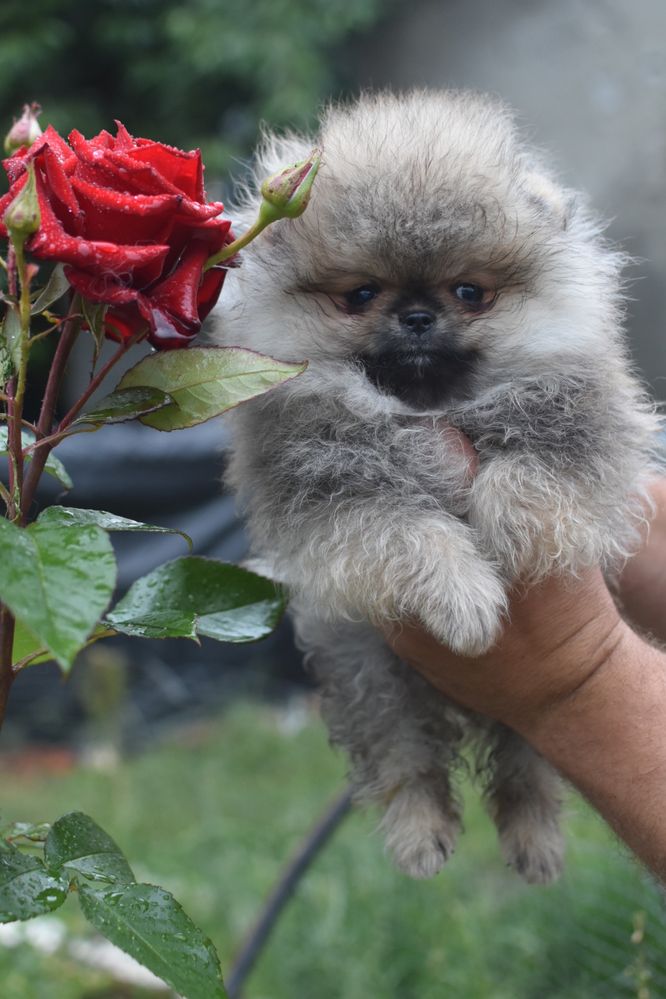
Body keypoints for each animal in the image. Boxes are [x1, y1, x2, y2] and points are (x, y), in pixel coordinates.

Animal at [211, 92, 652, 884]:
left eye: (470, 292)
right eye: (359, 295)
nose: (416, 316)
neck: (425, 407)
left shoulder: (584, 432)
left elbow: (530, 472)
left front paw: (511, 530)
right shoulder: (333, 492)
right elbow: (412, 529)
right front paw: (466, 603)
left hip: (520, 722)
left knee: (527, 766)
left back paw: (535, 840)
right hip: (370, 674)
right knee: (405, 759)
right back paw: (421, 835)